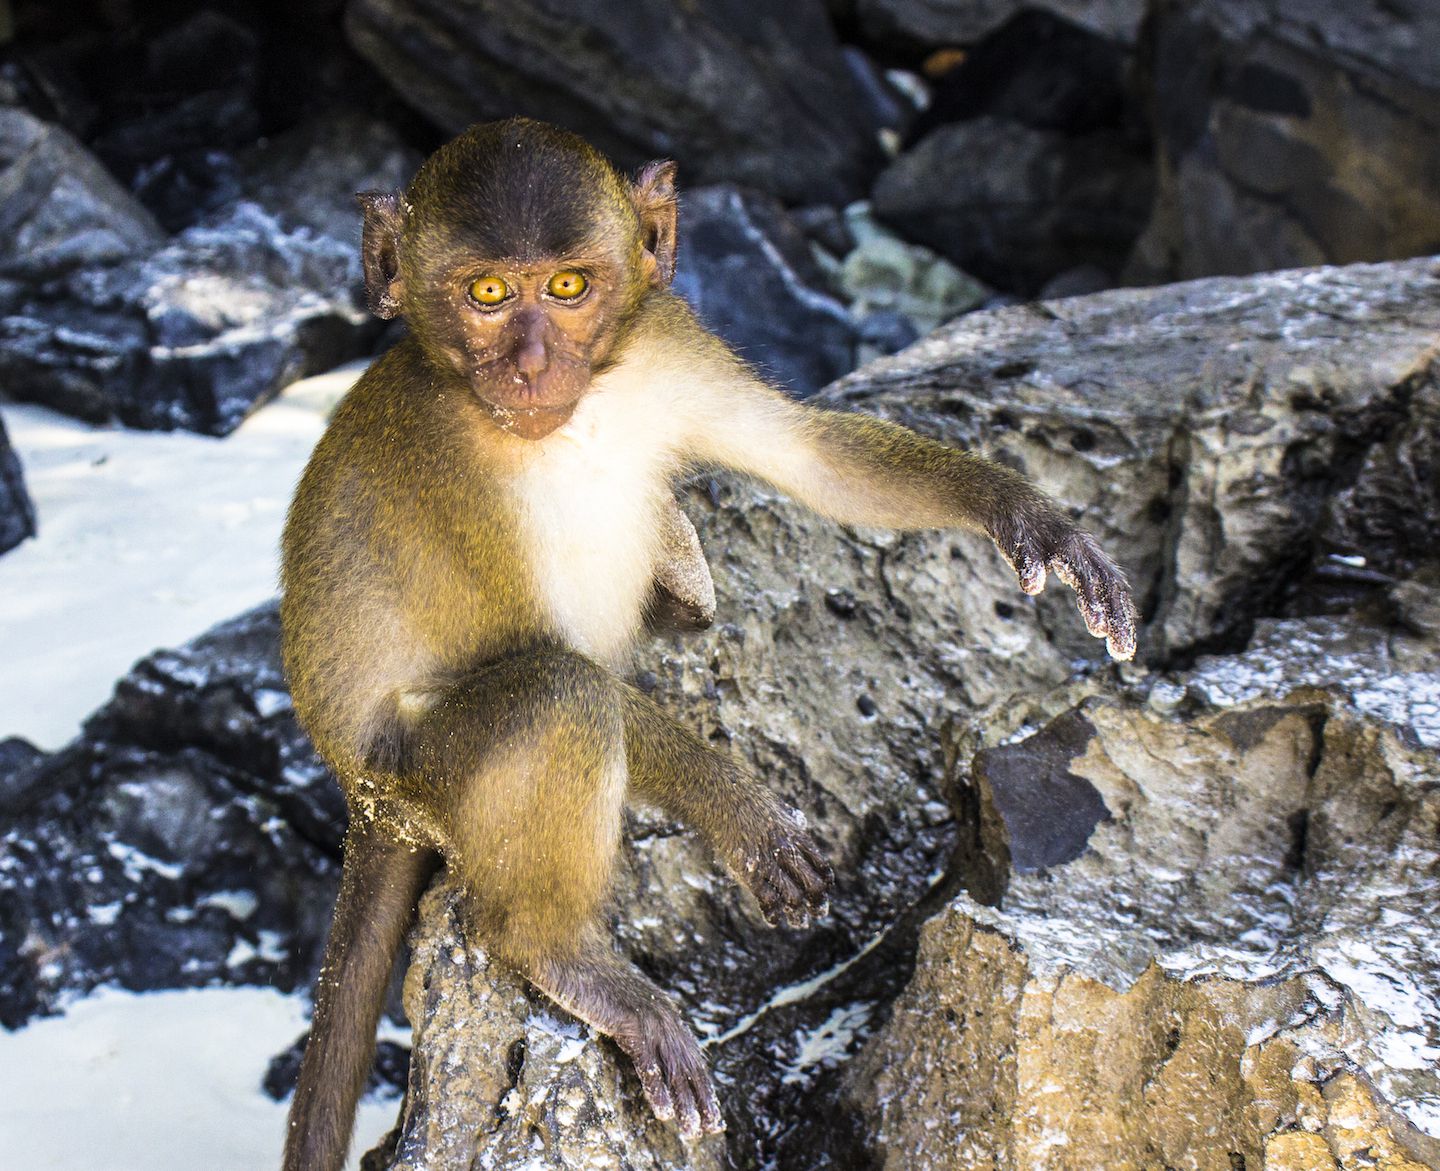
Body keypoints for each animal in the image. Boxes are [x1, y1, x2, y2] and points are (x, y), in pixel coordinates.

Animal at [278, 117, 1138, 1171]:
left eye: (569, 286)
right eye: (487, 294)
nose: (529, 367)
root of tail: (359, 791)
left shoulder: (666, 339)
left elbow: (817, 459)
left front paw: (1026, 514)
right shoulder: (444, 471)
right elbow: (545, 653)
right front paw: (742, 813)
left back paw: (680, 580)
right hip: (418, 777)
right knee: (562, 692)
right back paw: (553, 947)